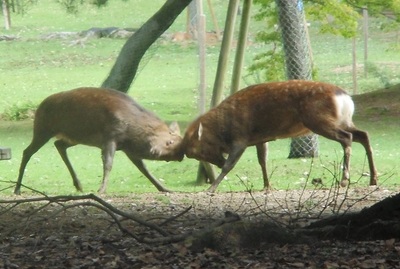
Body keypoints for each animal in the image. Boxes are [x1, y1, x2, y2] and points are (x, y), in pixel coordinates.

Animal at [14, 87, 184, 194]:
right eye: (169, 142)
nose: (180, 156)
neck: (133, 130)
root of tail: (39, 106)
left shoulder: (128, 147)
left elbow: (144, 168)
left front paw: (165, 188)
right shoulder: (110, 136)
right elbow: (108, 163)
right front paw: (101, 189)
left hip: (75, 136)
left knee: (59, 144)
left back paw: (79, 185)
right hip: (43, 129)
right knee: (27, 151)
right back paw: (17, 188)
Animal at [183, 80, 376, 193]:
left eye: (198, 150)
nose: (218, 161)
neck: (225, 127)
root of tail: (346, 99)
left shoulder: (241, 137)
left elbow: (230, 165)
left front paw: (211, 188)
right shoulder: (259, 139)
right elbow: (263, 161)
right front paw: (267, 185)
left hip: (319, 120)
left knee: (347, 138)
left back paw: (344, 180)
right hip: (343, 120)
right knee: (363, 135)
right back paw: (373, 178)